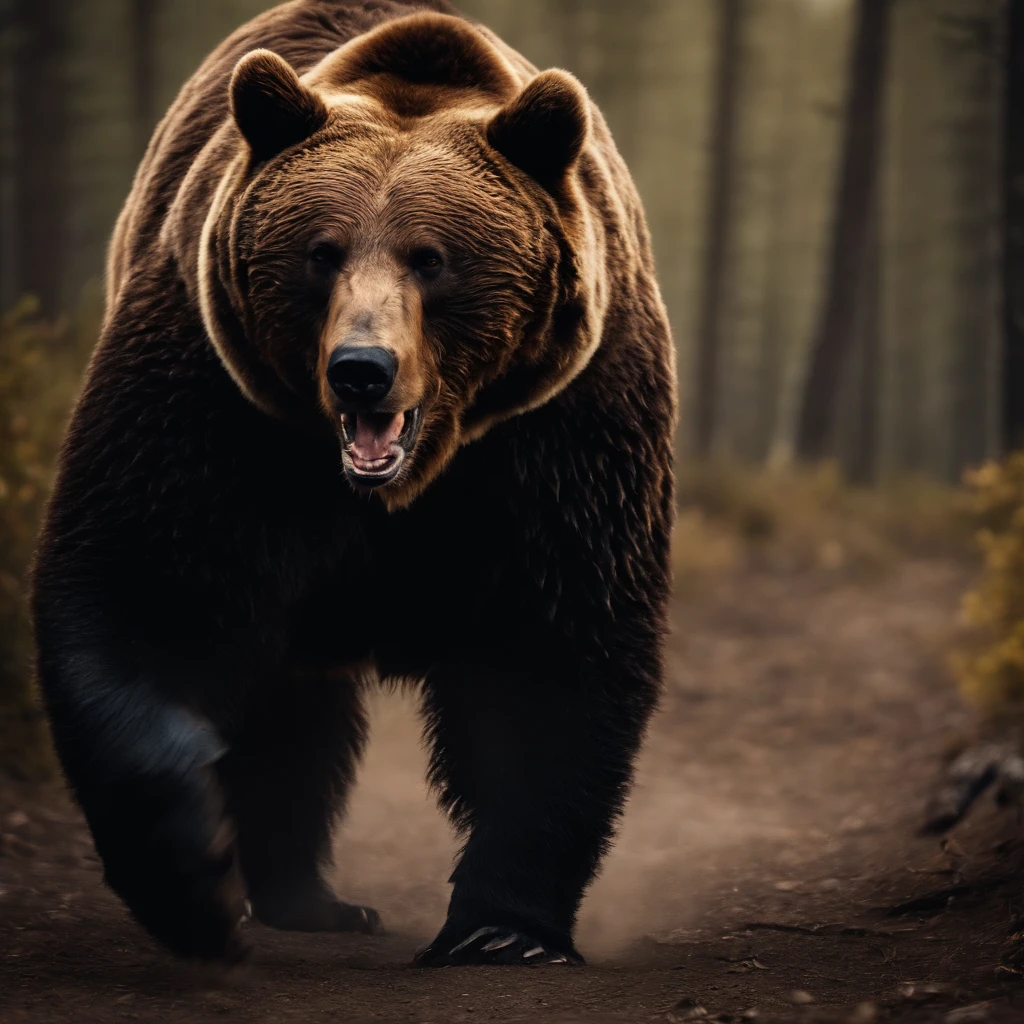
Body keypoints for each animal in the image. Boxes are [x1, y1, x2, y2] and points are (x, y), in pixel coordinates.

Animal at [31, 0, 676, 967]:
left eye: (432, 258)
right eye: (321, 252)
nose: (361, 370)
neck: (406, 484)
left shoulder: (560, 428)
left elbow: (554, 638)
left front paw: (502, 930)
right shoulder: (215, 400)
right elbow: (149, 587)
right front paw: (194, 873)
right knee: (292, 705)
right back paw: (304, 894)